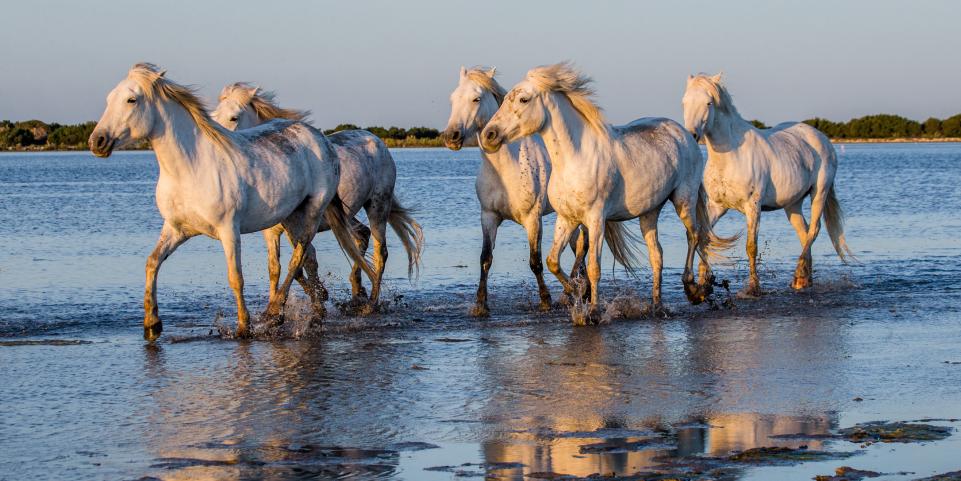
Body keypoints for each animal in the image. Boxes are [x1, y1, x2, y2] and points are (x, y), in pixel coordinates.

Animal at [90, 63, 368, 338]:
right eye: (109, 99)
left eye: (131, 99)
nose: (97, 141)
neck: (190, 168)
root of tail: (321, 138)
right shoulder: (176, 229)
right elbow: (152, 263)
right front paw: (152, 324)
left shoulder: (228, 230)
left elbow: (236, 277)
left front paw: (244, 326)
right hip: (291, 216)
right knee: (305, 259)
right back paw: (309, 311)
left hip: (313, 211)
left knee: (297, 258)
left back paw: (276, 311)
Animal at [214, 83, 424, 316]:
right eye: (213, 114)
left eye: (234, 117)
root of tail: (377, 141)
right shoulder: (271, 233)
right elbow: (278, 268)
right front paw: (284, 307)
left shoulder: (298, 225)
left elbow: (303, 262)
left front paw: (317, 298)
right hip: (346, 215)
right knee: (362, 236)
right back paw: (356, 293)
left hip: (378, 205)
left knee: (380, 252)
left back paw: (370, 304)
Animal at [444, 66, 600, 316]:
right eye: (453, 99)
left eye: (476, 98)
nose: (451, 137)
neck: (506, 167)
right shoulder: (488, 217)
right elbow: (485, 258)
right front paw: (480, 305)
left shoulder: (533, 219)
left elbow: (535, 261)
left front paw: (545, 300)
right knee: (578, 247)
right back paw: (580, 289)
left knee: (582, 247)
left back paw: (575, 290)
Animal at [484, 61, 732, 322]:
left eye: (523, 99)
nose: (489, 135)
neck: (574, 159)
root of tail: (685, 134)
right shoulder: (566, 219)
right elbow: (552, 261)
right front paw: (577, 293)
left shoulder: (596, 219)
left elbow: (594, 267)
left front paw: (592, 311)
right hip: (650, 212)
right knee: (657, 255)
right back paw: (657, 305)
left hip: (684, 199)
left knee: (694, 235)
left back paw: (695, 291)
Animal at [680, 73, 852, 296]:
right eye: (684, 102)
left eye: (708, 102)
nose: (691, 135)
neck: (731, 155)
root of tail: (821, 138)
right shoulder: (717, 206)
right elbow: (705, 237)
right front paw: (703, 282)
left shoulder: (753, 207)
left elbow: (751, 246)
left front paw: (754, 287)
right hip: (792, 204)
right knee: (804, 233)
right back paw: (805, 279)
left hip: (819, 193)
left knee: (814, 229)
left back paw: (799, 276)